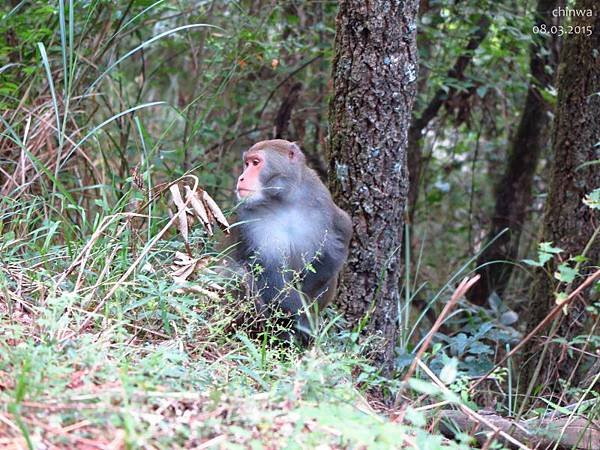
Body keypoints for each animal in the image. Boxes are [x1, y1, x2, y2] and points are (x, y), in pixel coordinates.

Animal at [230, 141, 352, 344]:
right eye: (246, 164)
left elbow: (339, 242)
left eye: (255, 163)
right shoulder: (249, 216)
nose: (241, 178)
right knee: (238, 275)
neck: (284, 200)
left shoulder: (320, 196)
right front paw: (304, 319)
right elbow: (270, 273)